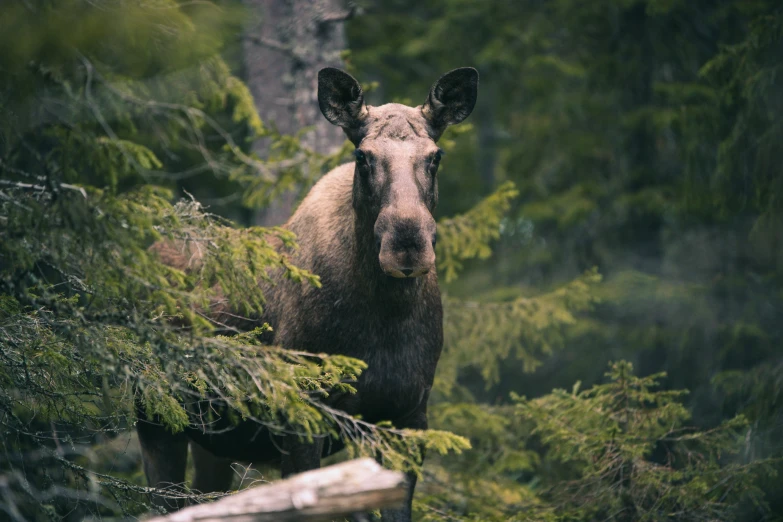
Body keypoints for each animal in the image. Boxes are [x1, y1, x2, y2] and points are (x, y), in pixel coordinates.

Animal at [137, 67, 478, 516]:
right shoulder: (303, 419)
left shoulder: (408, 419)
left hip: (213, 440)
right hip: (155, 416)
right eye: (363, 157)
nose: (407, 242)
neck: (385, 317)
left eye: (435, 156)